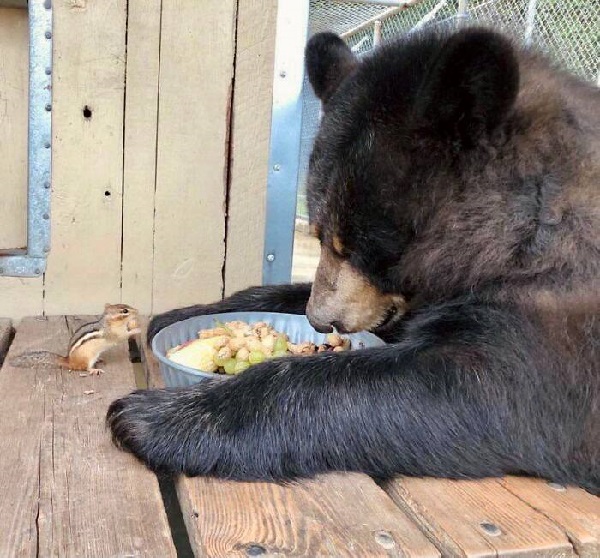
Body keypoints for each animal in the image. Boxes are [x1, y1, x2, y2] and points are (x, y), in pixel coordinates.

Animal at [108, 28, 600, 496]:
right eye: (320, 235)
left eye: (356, 246)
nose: (320, 319)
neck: (519, 231)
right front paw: (182, 314)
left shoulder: (553, 313)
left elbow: (476, 388)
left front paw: (154, 415)